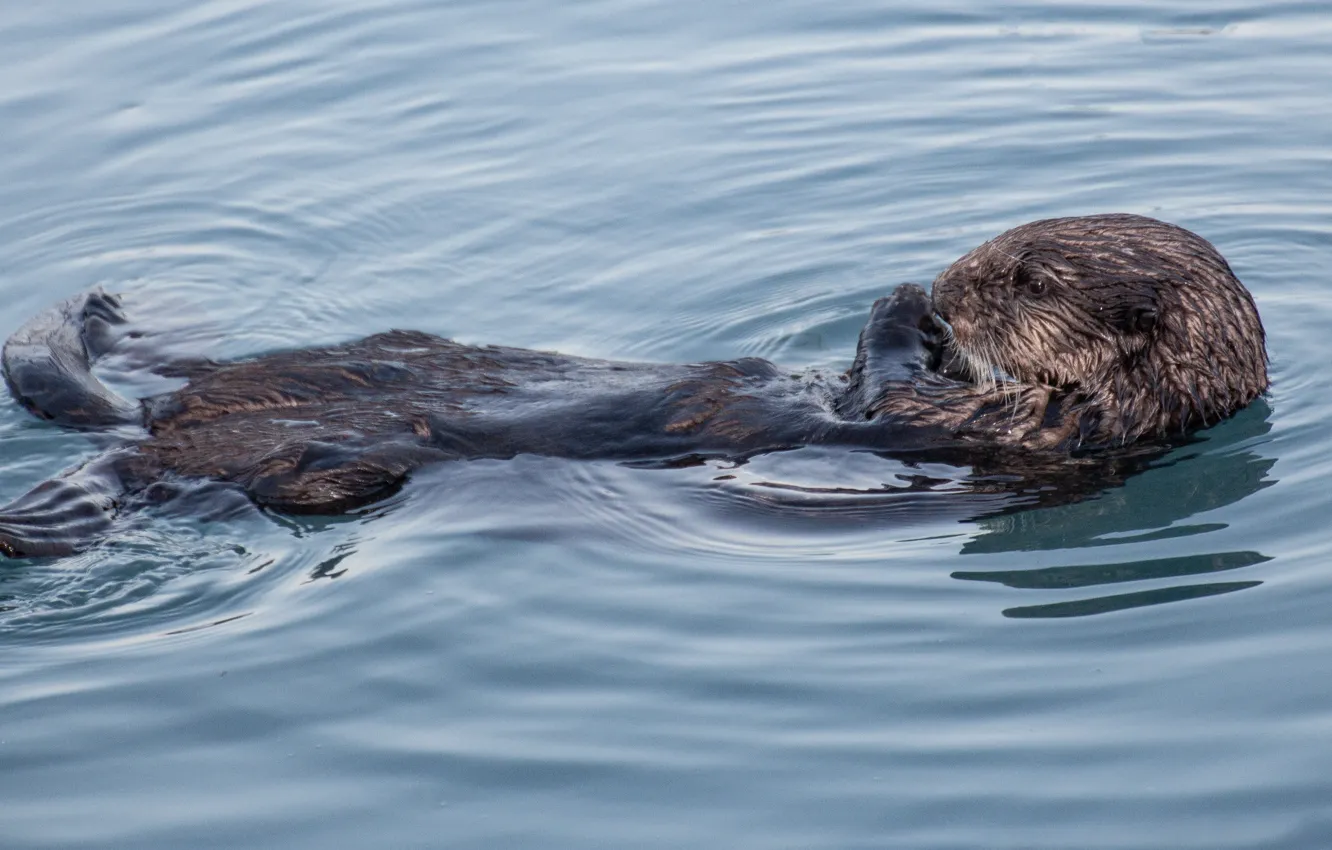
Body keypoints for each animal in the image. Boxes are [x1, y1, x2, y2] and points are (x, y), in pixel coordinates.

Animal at [0, 214, 1267, 557]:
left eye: (1027, 275)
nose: (953, 281)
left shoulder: (1016, 431)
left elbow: (883, 390)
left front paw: (907, 310)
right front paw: (912, 300)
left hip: (285, 462)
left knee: (167, 474)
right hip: (275, 368)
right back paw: (115, 319)